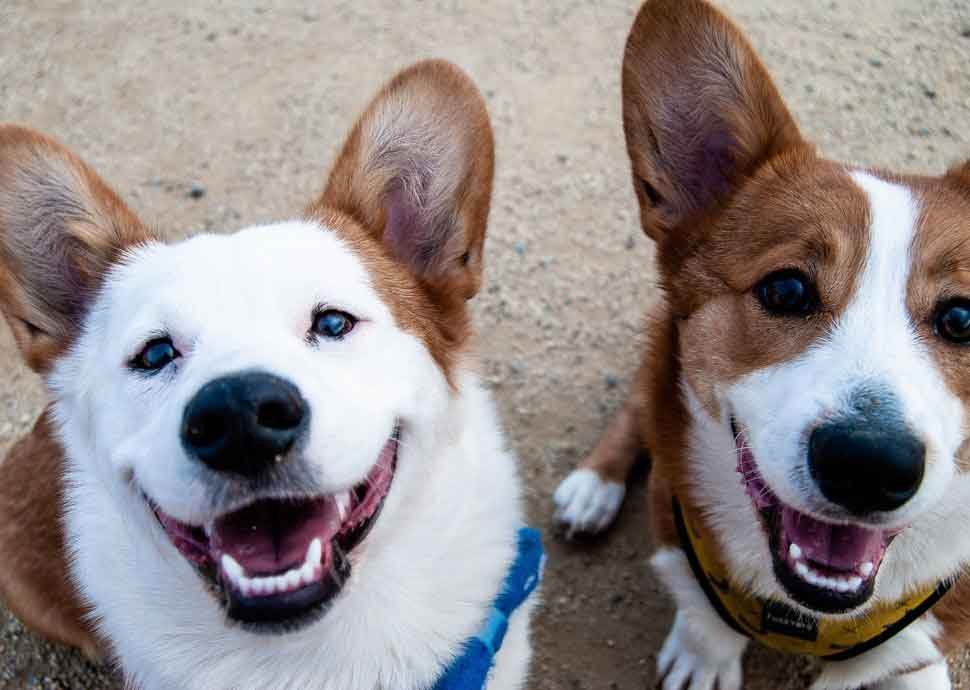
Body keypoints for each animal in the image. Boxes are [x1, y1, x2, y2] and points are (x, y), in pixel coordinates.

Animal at [556, 1, 968, 688]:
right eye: (786, 290)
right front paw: (703, 655)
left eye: (961, 317)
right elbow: (704, 612)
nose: (870, 466)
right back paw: (593, 487)